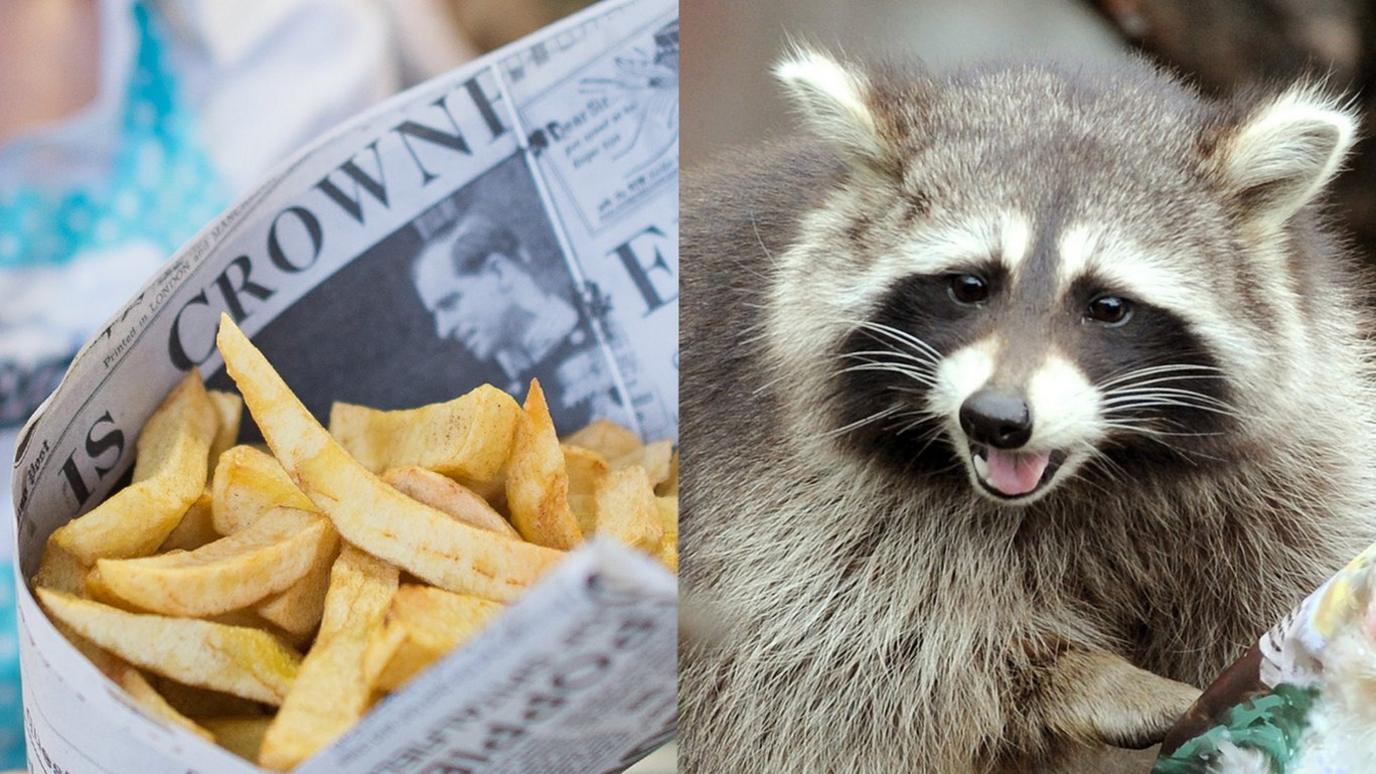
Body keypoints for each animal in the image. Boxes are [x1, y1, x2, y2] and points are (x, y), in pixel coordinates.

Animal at [676, 49, 1376, 771]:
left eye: (1107, 306)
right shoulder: (793, 500)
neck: (1098, 478)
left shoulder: (1294, 472)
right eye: (969, 285)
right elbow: (840, 666)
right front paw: (1084, 675)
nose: (996, 419)